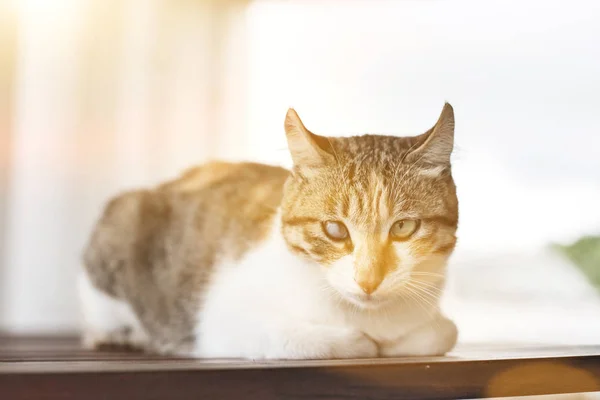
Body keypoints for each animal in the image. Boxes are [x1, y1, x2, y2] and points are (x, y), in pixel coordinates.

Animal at [77, 104, 458, 360]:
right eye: (335, 229)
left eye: (403, 227)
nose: (368, 281)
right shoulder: (220, 323)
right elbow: (315, 341)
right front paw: (357, 342)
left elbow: (443, 332)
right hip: (120, 227)